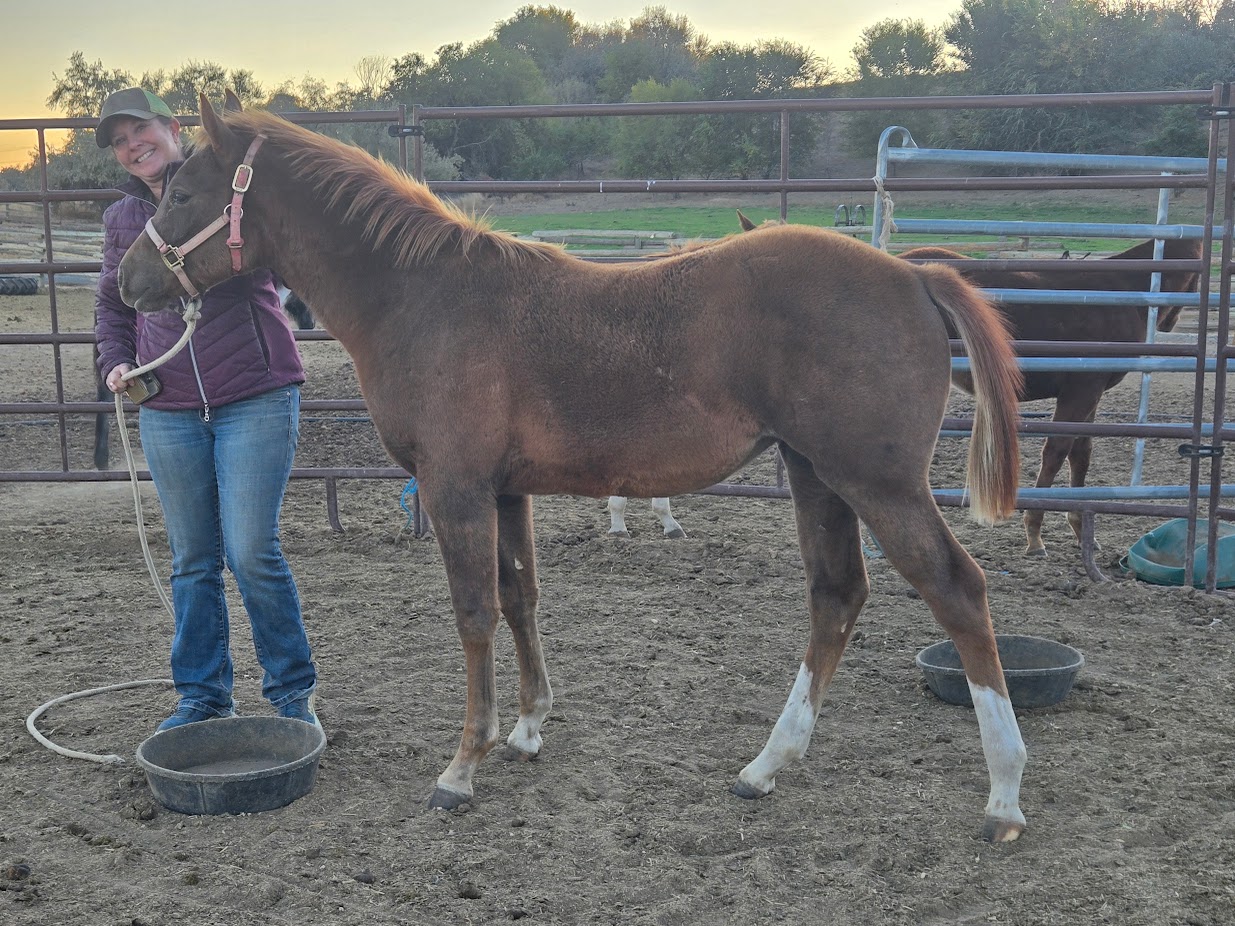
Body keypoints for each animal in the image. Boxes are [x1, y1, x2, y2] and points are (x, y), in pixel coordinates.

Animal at [117, 93, 1029, 841]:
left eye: (181, 193)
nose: (128, 282)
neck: (422, 297)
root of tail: (913, 274)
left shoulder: (455, 489)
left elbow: (475, 614)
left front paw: (463, 767)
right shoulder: (505, 490)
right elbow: (522, 596)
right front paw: (526, 730)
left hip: (876, 482)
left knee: (956, 590)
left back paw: (1003, 795)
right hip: (816, 475)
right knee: (837, 594)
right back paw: (765, 767)